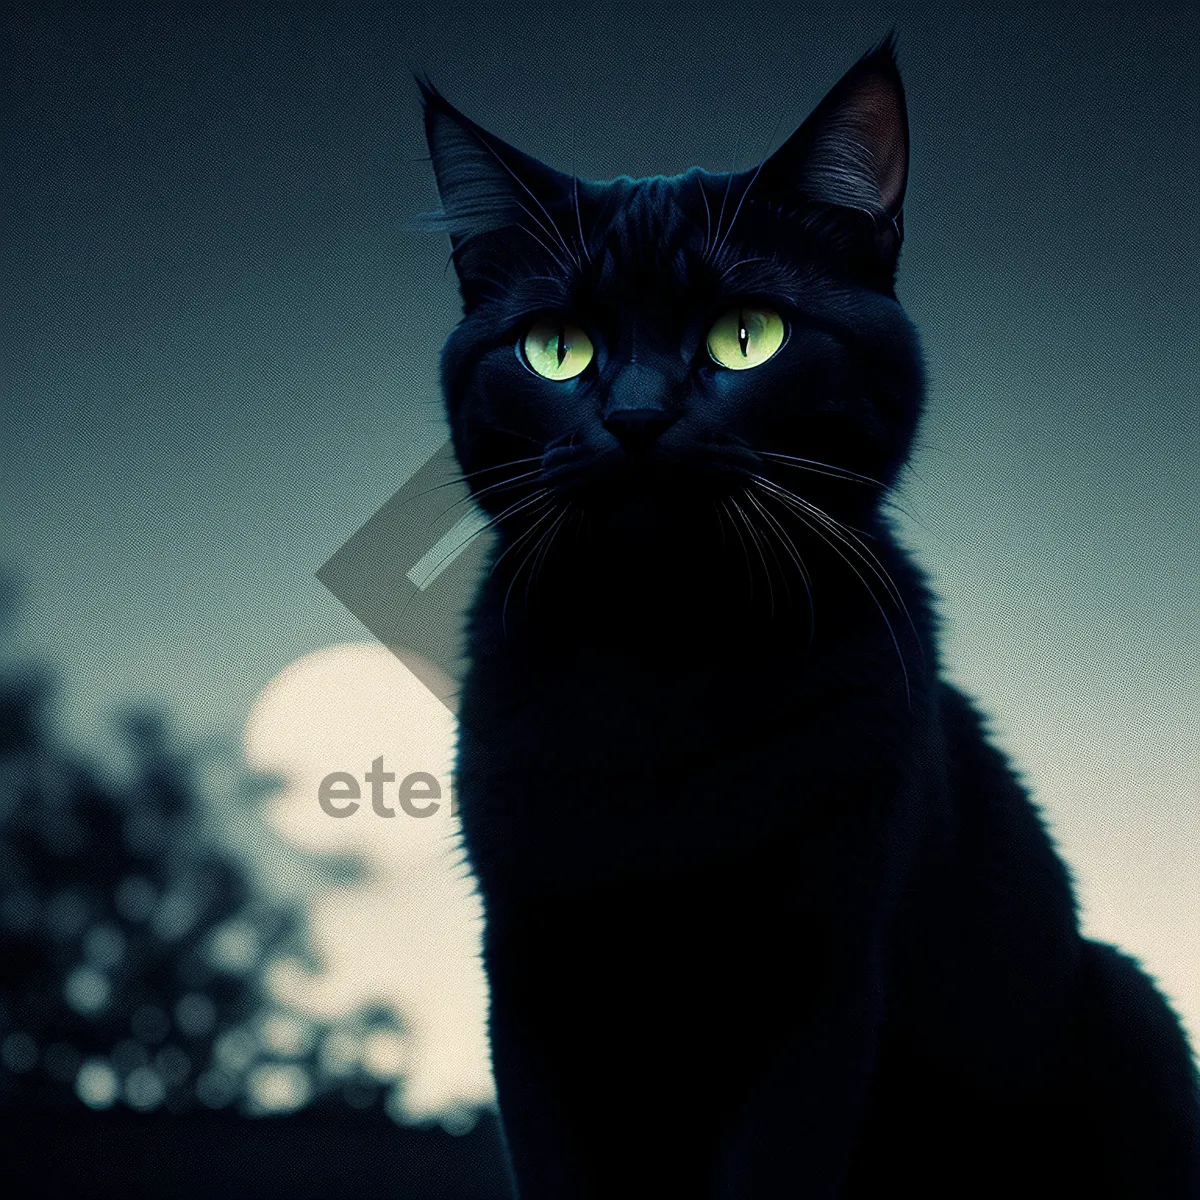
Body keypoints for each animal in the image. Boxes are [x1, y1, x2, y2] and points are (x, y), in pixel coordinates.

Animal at [420, 32, 1200, 1195]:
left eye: (749, 337)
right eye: (555, 349)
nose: (637, 416)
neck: (660, 667)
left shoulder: (824, 994)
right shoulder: (527, 986)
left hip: (1129, 1005)